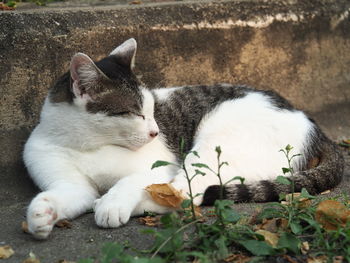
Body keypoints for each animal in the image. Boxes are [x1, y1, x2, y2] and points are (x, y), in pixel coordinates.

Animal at [23, 38, 344, 240]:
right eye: (135, 113)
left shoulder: (161, 165)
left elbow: (131, 181)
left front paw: (112, 203)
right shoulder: (71, 183)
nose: (155, 132)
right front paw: (41, 214)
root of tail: (314, 126)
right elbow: (66, 193)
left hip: (212, 144)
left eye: (151, 110)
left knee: (185, 196)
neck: (90, 145)